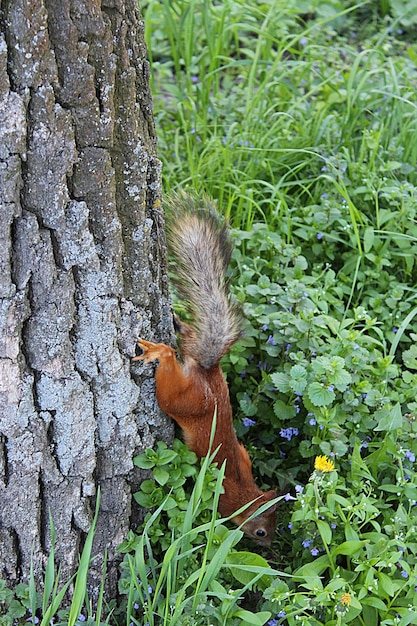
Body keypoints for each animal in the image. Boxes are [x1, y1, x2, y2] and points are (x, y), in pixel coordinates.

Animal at [133, 193, 276, 544]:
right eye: (262, 532)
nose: (268, 546)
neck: (245, 493)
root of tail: (207, 373)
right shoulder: (220, 498)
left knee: (184, 338)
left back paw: (177, 323)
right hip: (185, 401)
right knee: (170, 375)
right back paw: (160, 351)